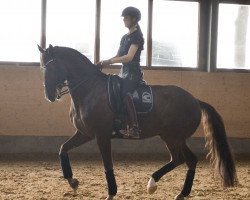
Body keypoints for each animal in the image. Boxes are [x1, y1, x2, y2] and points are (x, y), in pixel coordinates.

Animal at [38, 44, 237, 199]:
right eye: (42, 67)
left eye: (51, 67)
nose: (49, 95)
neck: (90, 90)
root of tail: (195, 100)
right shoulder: (85, 133)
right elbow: (63, 149)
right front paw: (72, 181)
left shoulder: (102, 135)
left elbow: (107, 164)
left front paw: (111, 193)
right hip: (176, 138)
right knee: (190, 160)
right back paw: (181, 193)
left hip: (172, 137)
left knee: (179, 158)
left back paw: (152, 184)